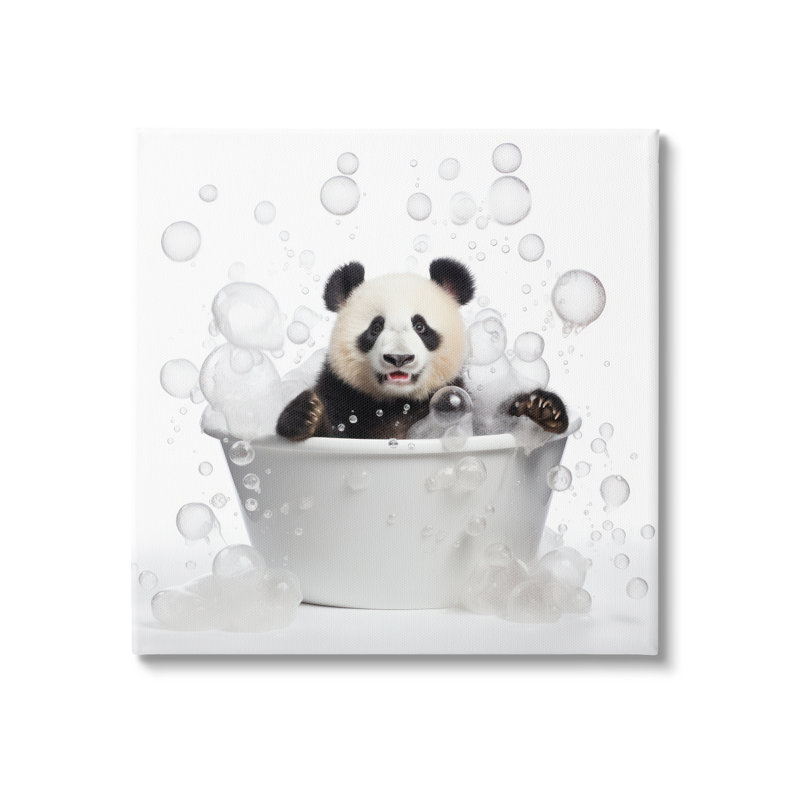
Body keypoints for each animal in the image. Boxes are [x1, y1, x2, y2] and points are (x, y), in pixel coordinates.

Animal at [276, 258, 567, 441]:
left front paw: (543, 407)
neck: (397, 404)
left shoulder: (455, 400)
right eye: (375, 327)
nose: (399, 358)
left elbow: (494, 424)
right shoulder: (343, 394)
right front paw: (305, 414)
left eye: (420, 326)